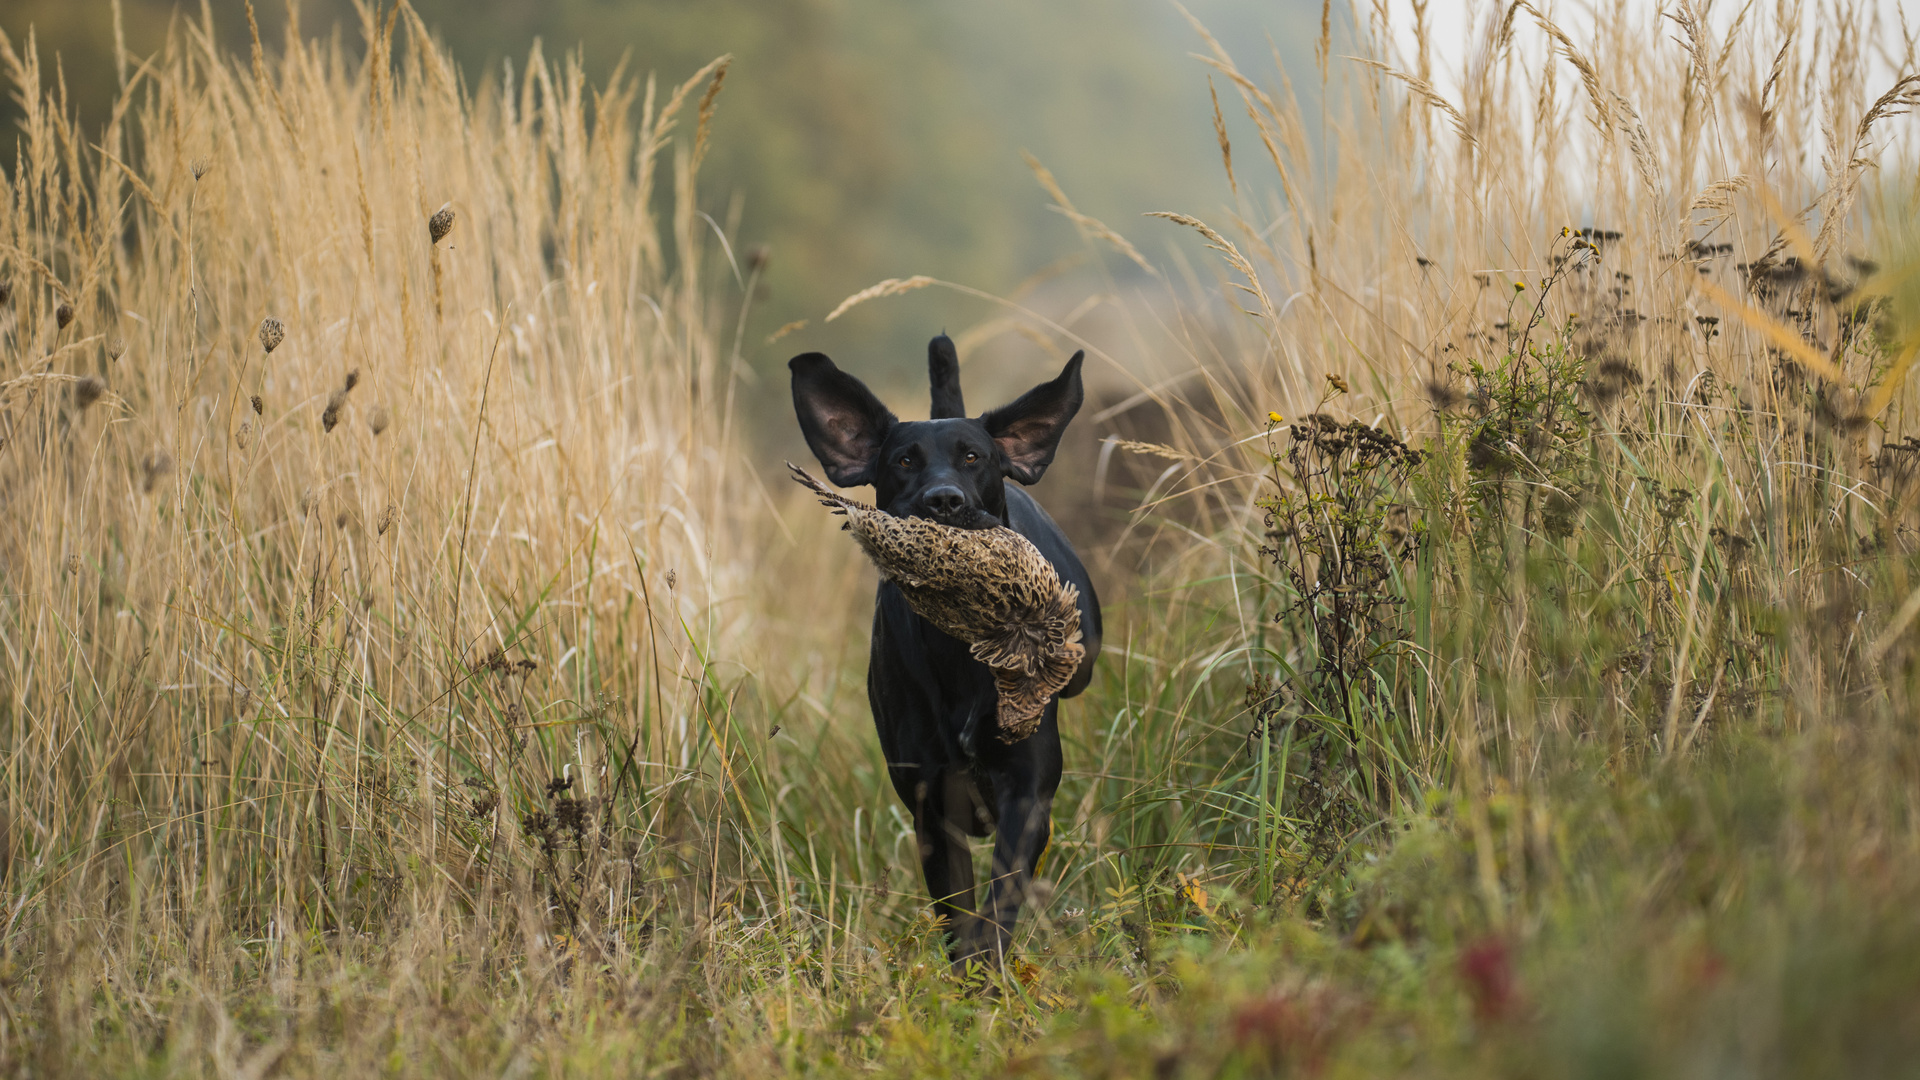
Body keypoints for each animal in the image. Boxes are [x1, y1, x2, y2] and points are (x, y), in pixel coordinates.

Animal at [787, 334, 1105, 957]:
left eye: (974, 457)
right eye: (904, 460)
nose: (944, 501)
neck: (958, 651)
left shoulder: (1027, 796)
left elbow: (998, 905)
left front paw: (990, 969)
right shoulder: (933, 810)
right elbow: (959, 919)